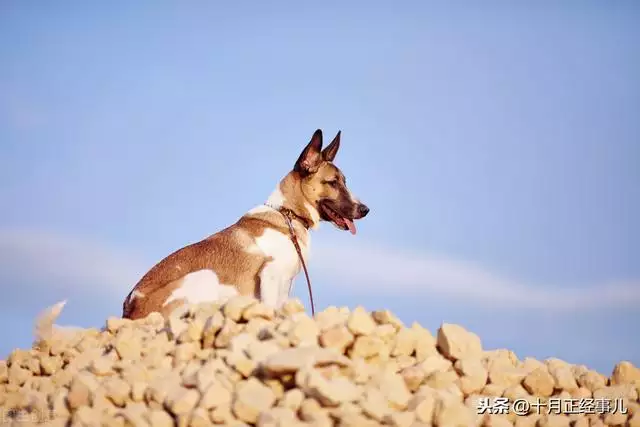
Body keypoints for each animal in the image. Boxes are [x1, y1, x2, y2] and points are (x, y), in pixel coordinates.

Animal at [121, 130, 370, 320]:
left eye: (344, 181)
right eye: (333, 183)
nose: (366, 210)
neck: (288, 215)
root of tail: (129, 308)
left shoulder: (285, 285)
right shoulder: (270, 276)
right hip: (205, 276)